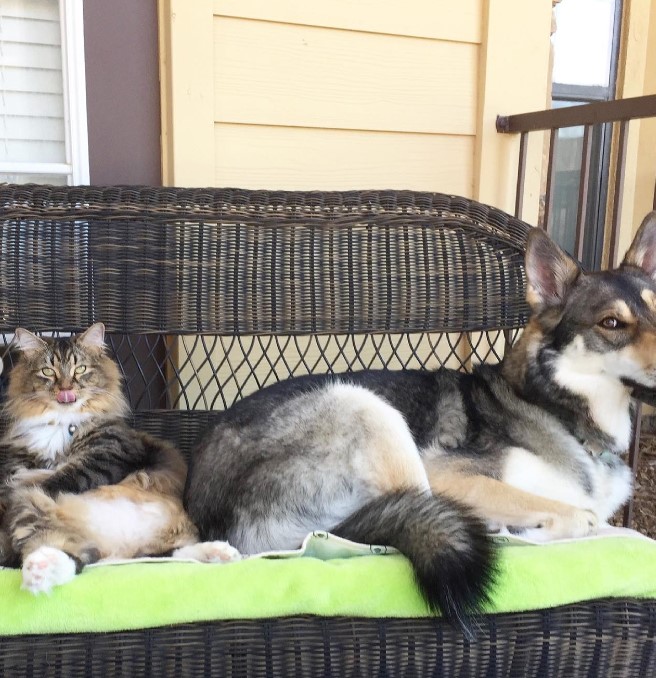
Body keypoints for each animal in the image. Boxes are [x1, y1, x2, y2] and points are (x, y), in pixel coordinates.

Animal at [0, 324, 238, 596]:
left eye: (80, 369)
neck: (63, 424)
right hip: (32, 510)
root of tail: (119, 545)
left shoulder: (111, 454)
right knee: (70, 555)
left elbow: (60, 476)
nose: (66, 389)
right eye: (48, 371)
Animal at [183, 214, 656, 632]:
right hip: (367, 408)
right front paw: (520, 528)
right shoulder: (450, 474)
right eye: (612, 323)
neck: (559, 409)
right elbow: (581, 517)